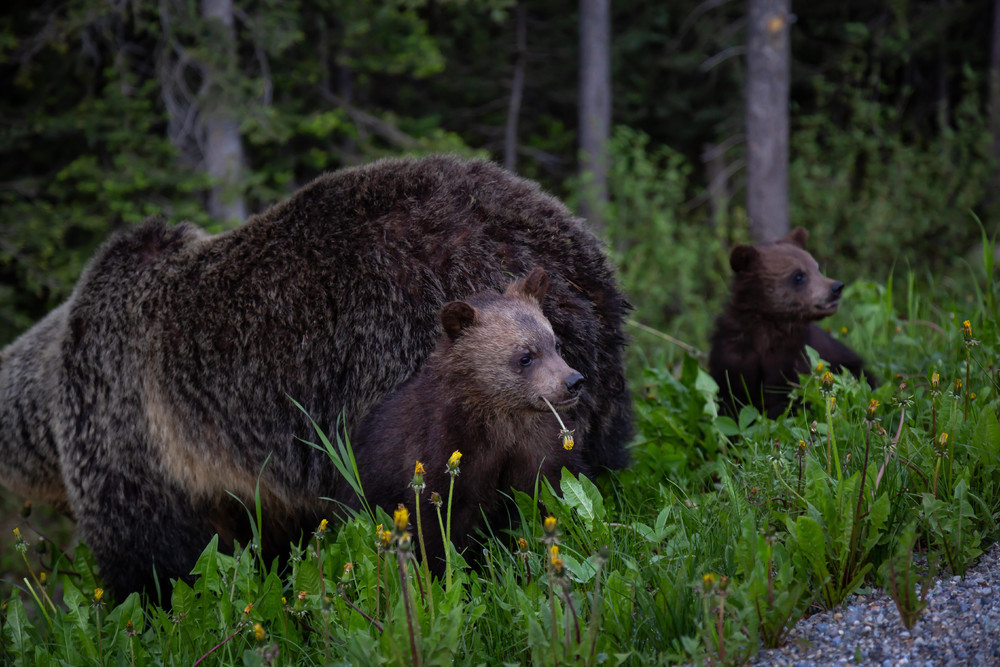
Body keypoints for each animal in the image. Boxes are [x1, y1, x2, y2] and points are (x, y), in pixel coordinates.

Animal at [348, 268, 588, 572]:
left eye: (555, 343)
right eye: (525, 356)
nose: (573, 382)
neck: (500, 419)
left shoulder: (536, 447)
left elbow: (552, 492)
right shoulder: (443, 451)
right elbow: (438, 525)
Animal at [712, 228, 868, 418]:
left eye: (816, 268)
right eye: (798, 275)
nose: (836, 287)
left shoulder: (794, 358)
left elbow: (788, 398)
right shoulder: (732, 355)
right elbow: (730, 396)